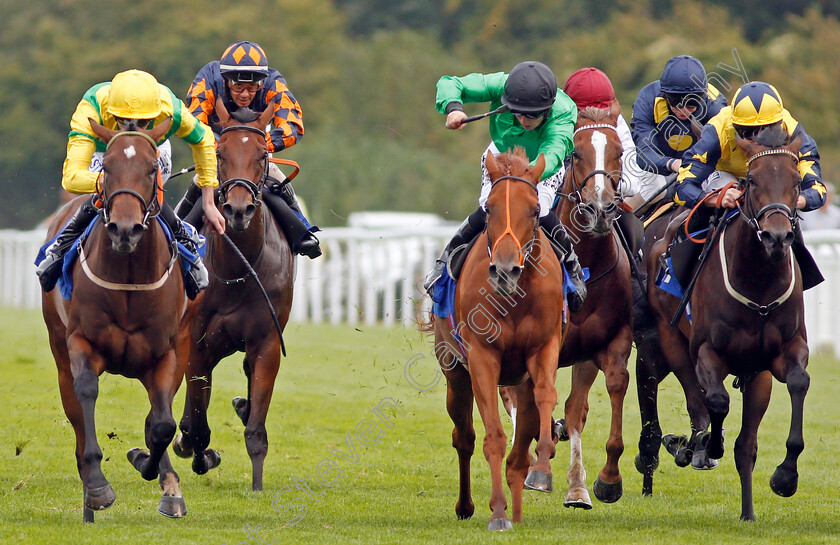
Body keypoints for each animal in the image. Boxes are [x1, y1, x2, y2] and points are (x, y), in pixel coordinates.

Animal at [41, 118, 189, 520]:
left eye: (152, 168)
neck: (128, 278)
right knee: (75, 409)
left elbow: (162, 423)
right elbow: (86, 393)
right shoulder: (81, 343)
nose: (125, 229)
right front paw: (97, 486)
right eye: (106, 167)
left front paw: (156, 474)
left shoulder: (166, 354)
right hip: (58, 348)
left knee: (158, 416)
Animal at [171, 100, 296, 490]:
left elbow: (256, 427)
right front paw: (198, 451)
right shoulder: (196, 341)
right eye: (220, 154)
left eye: (262, 154)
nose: (238, 210)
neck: (237, 270)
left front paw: (257, 484)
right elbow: (198, 423)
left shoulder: (266, 342)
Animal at [434, 147, 564, 528]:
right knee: (464, 437)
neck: (515, 298)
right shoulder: (481, 357)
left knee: (519, 447)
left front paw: (542, 467)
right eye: (489, 208)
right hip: (454, 372)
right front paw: (497, 512)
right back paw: (467, 506)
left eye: (534, 210)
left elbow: (546, 397)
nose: (505, 271)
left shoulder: (544, 348)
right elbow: (493, 436)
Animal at [644, 126, 808, 520]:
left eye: (796, 181)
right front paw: (705, 445)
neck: (758, 282)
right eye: (752, 180)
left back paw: (747, 511)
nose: (777, 237)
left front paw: (785, 476)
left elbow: (798, 382)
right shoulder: (707, 351)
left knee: (745, 445)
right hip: (671, 338)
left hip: (758, 375)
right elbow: (716, 402)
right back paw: (691, 445)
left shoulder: (783, 352)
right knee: (696, 401)